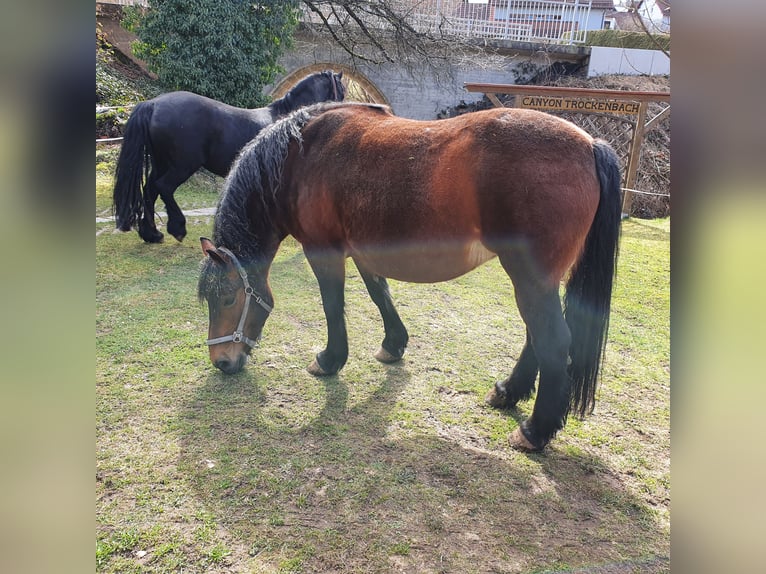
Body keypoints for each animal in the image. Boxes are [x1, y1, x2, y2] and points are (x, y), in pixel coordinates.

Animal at [112, 71, 344, 244]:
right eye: (341, 91)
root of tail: (153, 104)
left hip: (161, 163)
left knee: (150, 190)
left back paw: (151, 234)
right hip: (182, 166)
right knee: (164, 187)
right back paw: (177, 227)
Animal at [196, 103, 624, 454]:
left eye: (228, 297)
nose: (222, 362)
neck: (300, 156)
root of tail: (590, 144)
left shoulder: (324, 251)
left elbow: (333, 305)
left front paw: (330, 360)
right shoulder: (363, 249)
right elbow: (379, 293)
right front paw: (393, 344)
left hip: (530, 278)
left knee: (553, 341)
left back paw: (534, 432)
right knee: (537, 337)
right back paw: (507, 392)